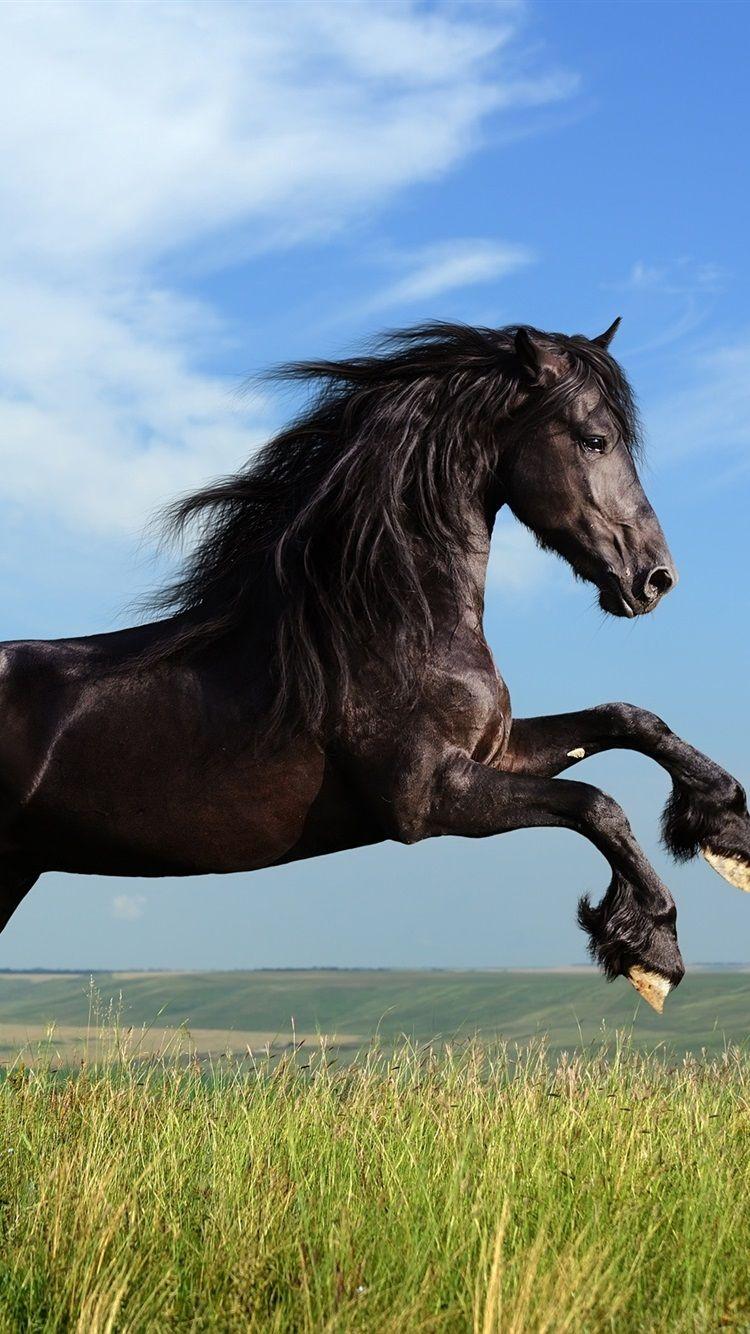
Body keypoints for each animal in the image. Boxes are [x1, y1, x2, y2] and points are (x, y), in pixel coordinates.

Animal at [1, 319, 748, 1010]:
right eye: (594, 439)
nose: (655, 578)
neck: (386, 627)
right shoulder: (428, 799)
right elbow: (598, 805)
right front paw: (652, 949)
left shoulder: (495, 751)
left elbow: (628, 719)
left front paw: (725, 829)